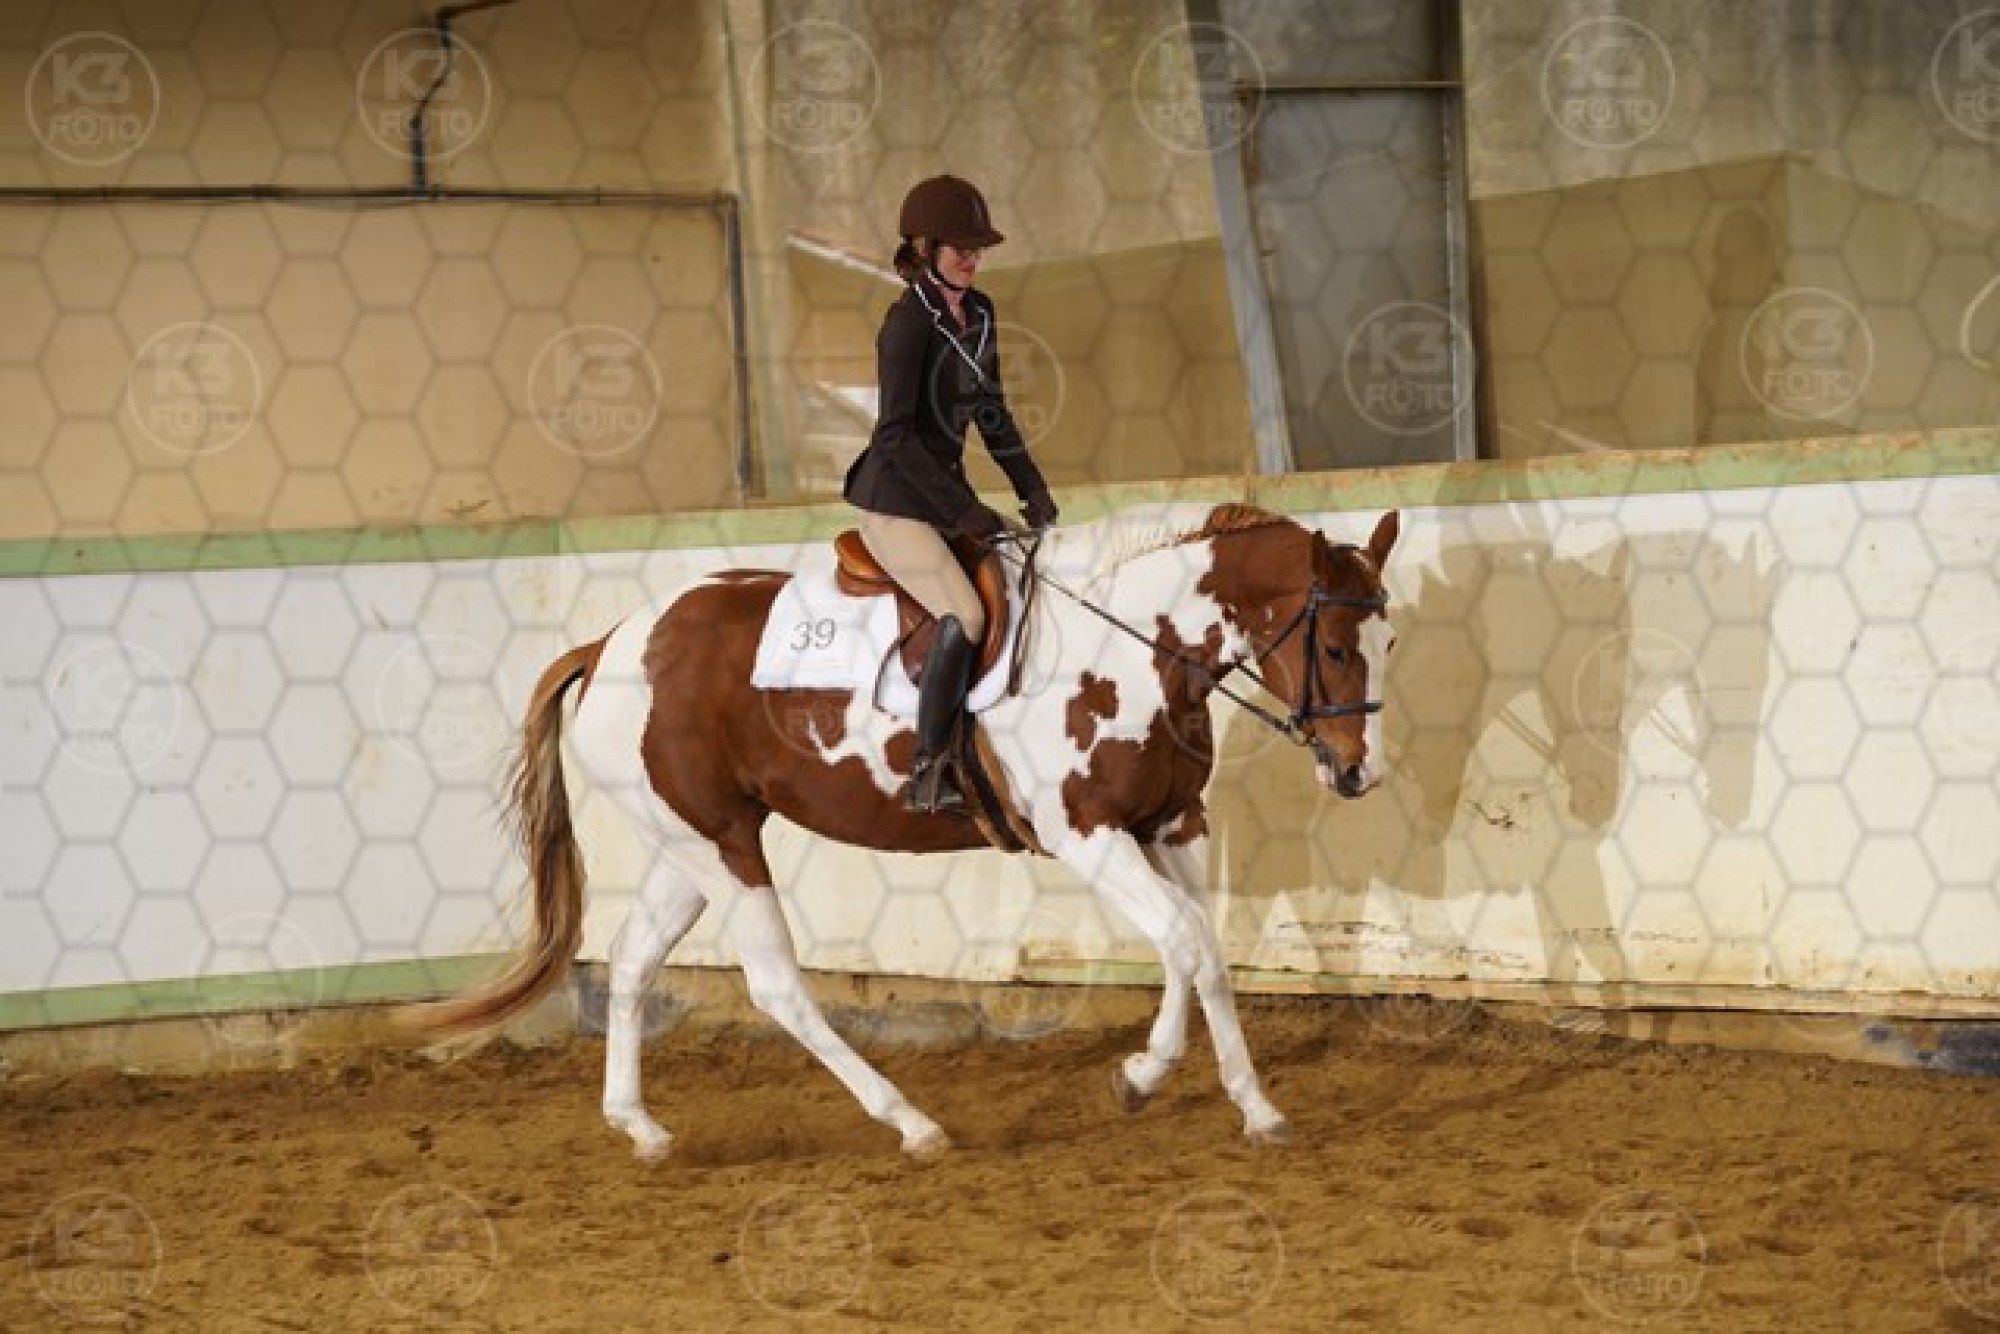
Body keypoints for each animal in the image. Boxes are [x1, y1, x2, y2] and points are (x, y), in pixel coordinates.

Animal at [408, 502, 1401, 1160]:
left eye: (1388, 645)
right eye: (1337, 647)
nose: (1359, 773)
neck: (1131, 651)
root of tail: (610, 641)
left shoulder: (1171, 826)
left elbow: (1205, 954)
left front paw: (1253, 1107)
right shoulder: (1088, 837)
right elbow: (1185, 941)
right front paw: (1144, 1075)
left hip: (689, 846)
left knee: (631, 958)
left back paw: (640, 1126)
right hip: (723, 851)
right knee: (777, 986)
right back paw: (912, 1123)